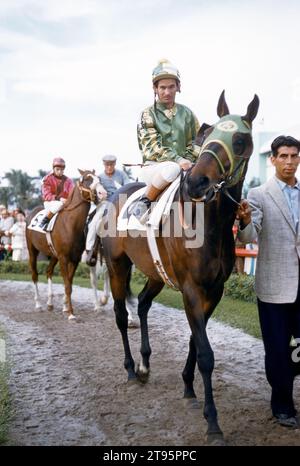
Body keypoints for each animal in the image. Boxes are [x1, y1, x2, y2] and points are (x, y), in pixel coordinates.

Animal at [25, 168, 106, 320]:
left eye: (99, 179)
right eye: (87, 179)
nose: (103, 193)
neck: (71, 224)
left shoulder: (74, 259)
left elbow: (69, 282)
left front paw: (65, 307)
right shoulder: (63, 258)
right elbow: (67, 285)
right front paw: (71, 314)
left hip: (53, 254)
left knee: (48, 271)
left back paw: (50, 303)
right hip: (32, 250)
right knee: (34, 275)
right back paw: (38, 304)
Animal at [102, 92, 258, 444]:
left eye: (240, 140)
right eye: (208, 133)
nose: (198, 181)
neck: (206, 222)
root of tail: (115, 196)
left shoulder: (213, 290)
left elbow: (194, 341)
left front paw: (188, 387)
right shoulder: (191, 289)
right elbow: (206, 354)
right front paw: (212, 422)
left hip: (157, 273)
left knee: (143, 304)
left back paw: (144, 365)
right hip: (117, 265)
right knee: (120, 315)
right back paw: (130, 369)